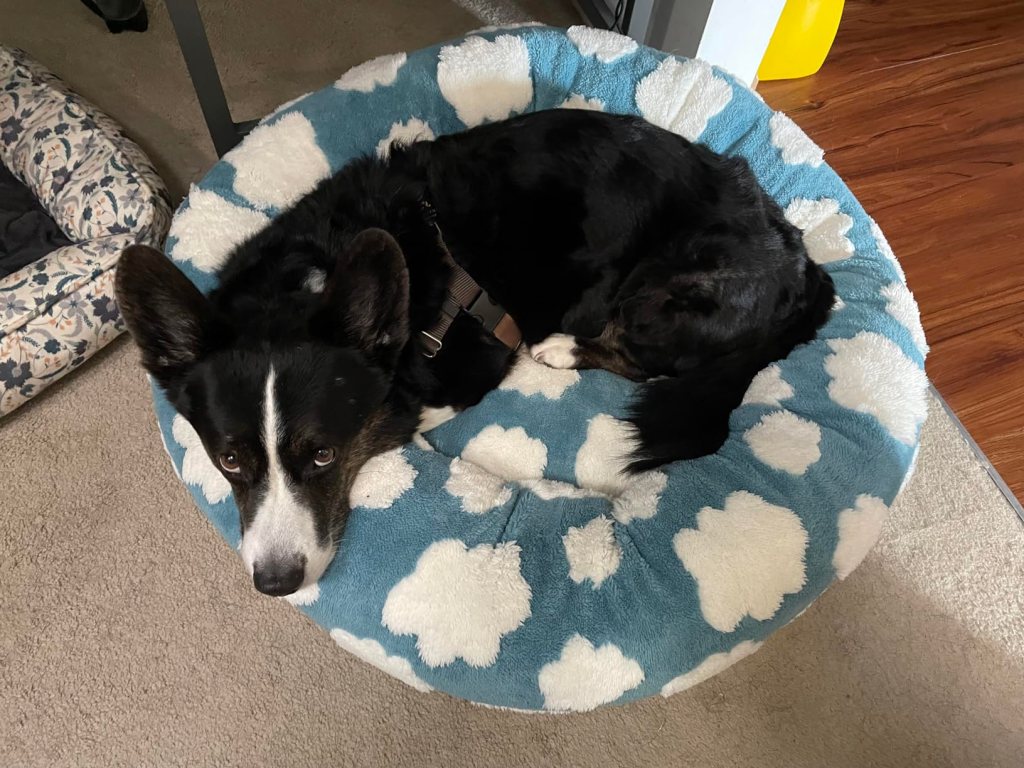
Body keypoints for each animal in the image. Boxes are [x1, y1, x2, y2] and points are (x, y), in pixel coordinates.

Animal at [116, 111, 831, 598]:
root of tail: (804, 266)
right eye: (229, 460)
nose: (276, 584)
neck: (313, 272)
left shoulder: (463, 372)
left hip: (664, 294)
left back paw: (561, 349)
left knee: (641, 355)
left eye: (322, 454)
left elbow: (403, 418)